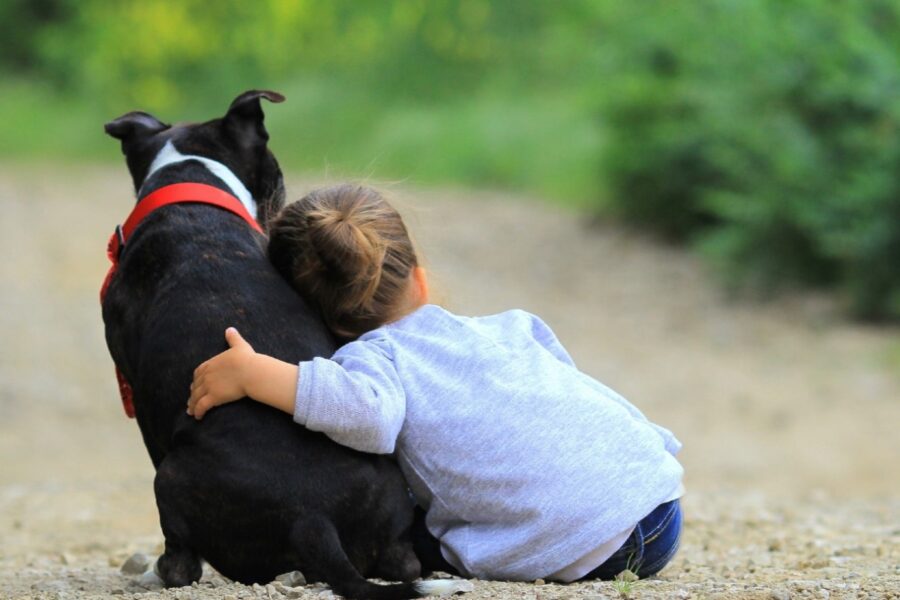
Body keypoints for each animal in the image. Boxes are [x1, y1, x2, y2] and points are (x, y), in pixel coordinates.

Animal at [102, 90, 472, 600]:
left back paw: (157, 572)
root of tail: (312, 519)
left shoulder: (138, 396)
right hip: (388, 502)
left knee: (183, 564)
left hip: (169, 478)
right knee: (403, 564)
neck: (190, 181)